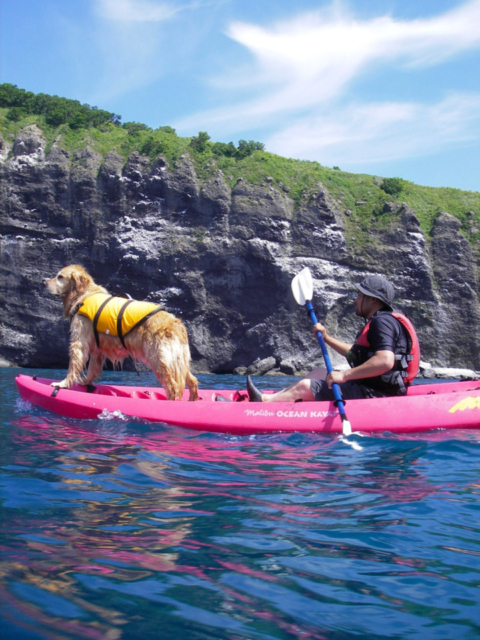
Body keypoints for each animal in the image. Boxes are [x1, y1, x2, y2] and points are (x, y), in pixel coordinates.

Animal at [43, 264, 197, 400]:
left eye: (60, 276)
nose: (43, 282)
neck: (84, 296)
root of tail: (177, 324)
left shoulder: (80, 338)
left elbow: (74, 362)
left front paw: (62, 384)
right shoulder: (97, 348)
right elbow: (92, 367)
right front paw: (85, 381)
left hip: (158, 358)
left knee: (173, 386)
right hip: (179, 360)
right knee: (193, 381)